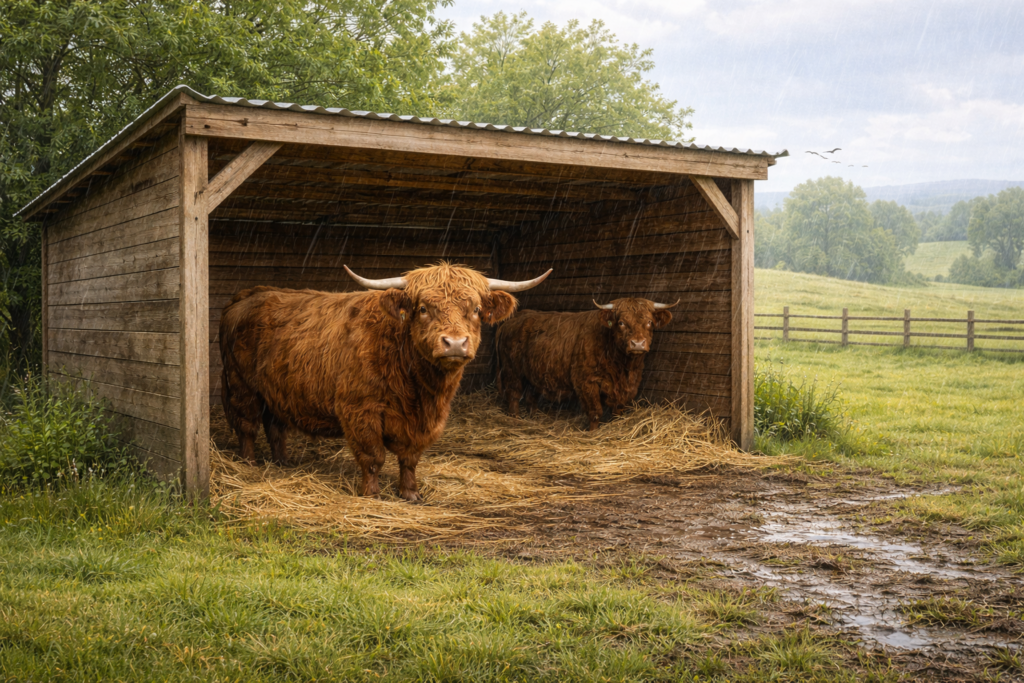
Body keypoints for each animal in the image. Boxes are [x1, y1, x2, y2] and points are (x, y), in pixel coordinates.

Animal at [219, 263, 551, 502]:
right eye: (422, 309)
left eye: (476, 310)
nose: (455, 343)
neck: (418, 388)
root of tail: (252, 293)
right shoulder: (359, 411)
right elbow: (373, 456)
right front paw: (372, 494)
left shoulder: (426, 420)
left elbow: (410, 458)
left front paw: (410, 493)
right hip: (241, 384)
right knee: (248, 425)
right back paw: (249, 464)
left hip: (276, 390)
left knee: (276, 426)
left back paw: (282, 463)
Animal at [495, 298, 679, 431]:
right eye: (621, 323)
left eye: (649, 322)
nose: (638, 344)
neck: (622, 367)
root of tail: (514, 318)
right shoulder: (586, 382)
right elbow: (595, 412)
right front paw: (593, 433)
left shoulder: (628, 385)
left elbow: (618, 411)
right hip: (512, 369)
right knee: (513, 394)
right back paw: (515, 419)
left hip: (534, 372)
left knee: (531, 396)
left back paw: (533, 418)